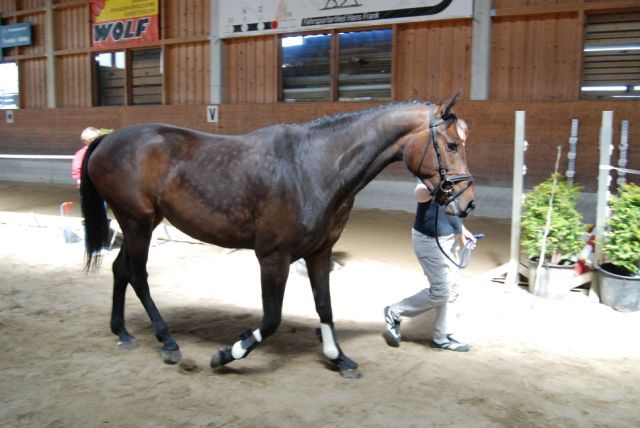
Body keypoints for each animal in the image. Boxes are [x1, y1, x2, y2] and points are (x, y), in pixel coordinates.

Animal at [80, 94, 475, 378]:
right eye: (452, 145)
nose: (467, 202)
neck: (315, 168)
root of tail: (106, 140)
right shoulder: (273, 257)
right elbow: (271, 319)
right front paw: (226, 354)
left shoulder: (319, 253)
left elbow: (324, 306)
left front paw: (339, 358)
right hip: (136, 222)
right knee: (137, 275)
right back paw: (167, 341)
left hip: (140, 224)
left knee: (120, 270)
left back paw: (122, 332)